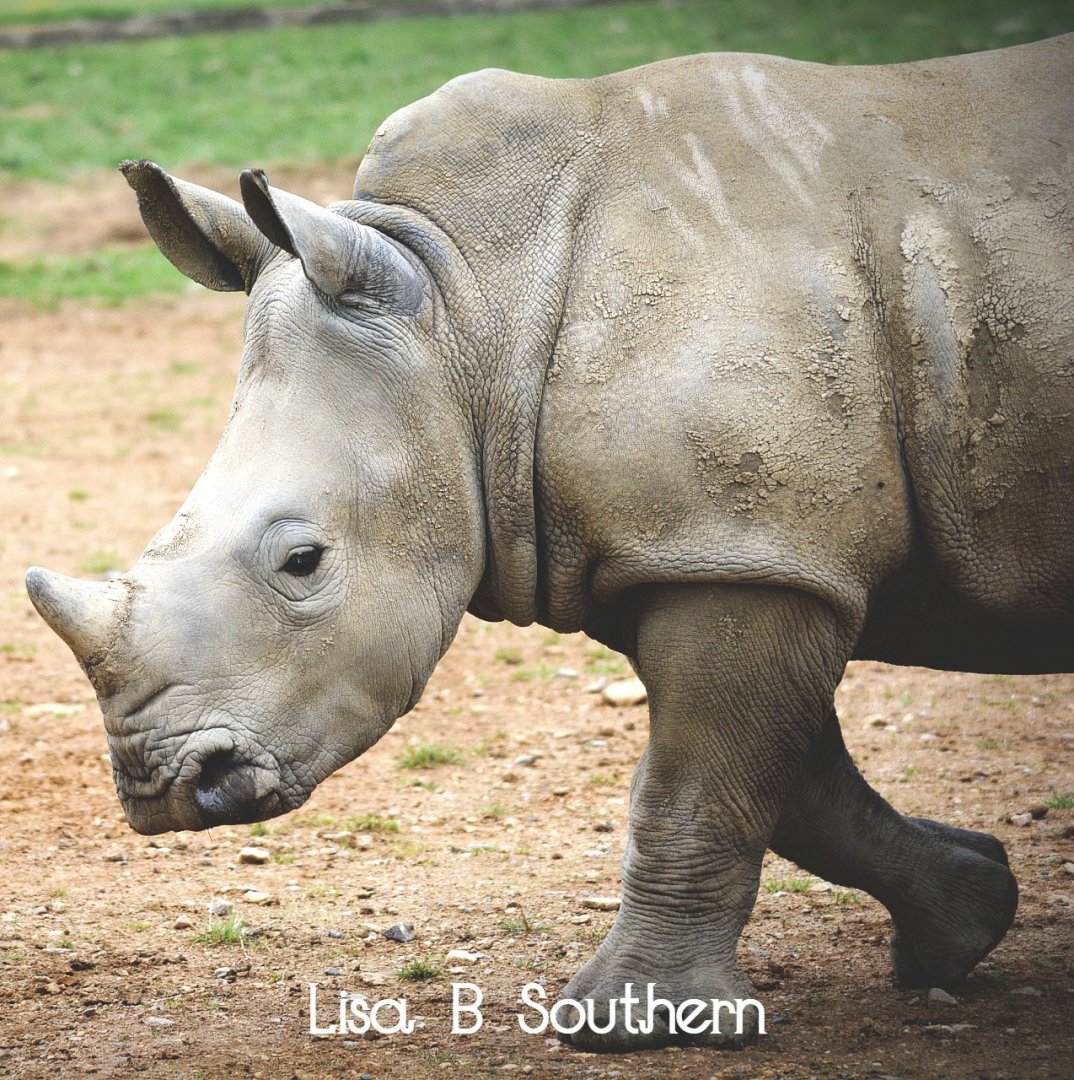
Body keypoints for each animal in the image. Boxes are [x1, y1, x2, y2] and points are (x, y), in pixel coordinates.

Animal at [25, 34, 1073, 1050]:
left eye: (302, 561)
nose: (164, 788)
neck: (468, 303)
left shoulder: (745, 553)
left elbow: (695, 784)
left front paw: (631, 1027)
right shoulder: (712, 545)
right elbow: (788, 783)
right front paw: (963, 921)